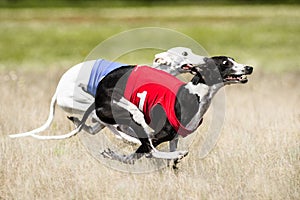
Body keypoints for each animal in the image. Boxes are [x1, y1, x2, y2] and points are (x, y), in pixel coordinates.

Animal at [94, 56, 253, 164]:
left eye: (233, 60)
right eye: (225, 63)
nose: (249, 68)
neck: (195, 95)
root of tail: (101, 85)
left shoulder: (174, 139)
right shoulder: (159, 136)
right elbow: (146, 152)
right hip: (127, 110)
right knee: (150, 149)